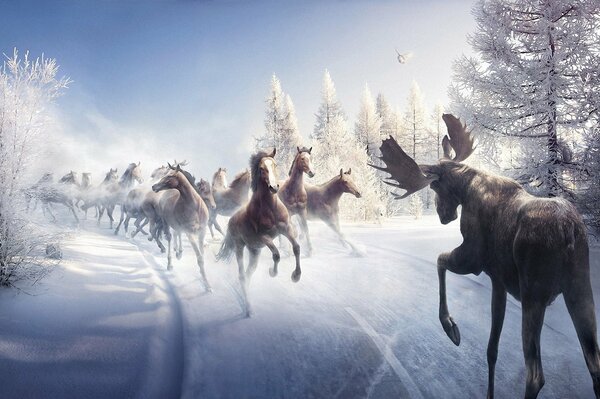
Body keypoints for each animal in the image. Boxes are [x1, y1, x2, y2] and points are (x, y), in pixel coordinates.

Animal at [152, 164, 211, 292]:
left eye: (169, 175)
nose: (154, 186)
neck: (195, 207)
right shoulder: (190, 233)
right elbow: (199, 258)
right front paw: (207, 285)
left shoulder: (202, 232)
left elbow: (202, 256)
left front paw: (205, 281)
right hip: (165, 222)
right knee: (170, 237)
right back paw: (170, 264)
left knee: (177, 233)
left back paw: (179, 253)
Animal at [217, 148, 302, 318]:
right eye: (262, 169)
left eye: (274, 165)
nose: (274, 187)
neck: (270, 208)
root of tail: (231, 220)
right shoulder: (264, 238)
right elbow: (276, 255)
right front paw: (272, 272)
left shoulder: (287, 228)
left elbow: (296, 248)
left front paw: (296, 276)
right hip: (240, 247)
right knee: (242, 276)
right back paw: (248, 309)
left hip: (254, 251)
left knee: (248, 274)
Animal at [370, 114, 600, 398]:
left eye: (434, 186)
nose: (443, 216)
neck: (467, 188)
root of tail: (567, 230)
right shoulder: (498, 280)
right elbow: (492, 350)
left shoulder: (474, 257)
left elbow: (440, 259)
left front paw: (450, 327)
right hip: (580, 288)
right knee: (594, 366)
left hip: (533, 293)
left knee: (535, 374)